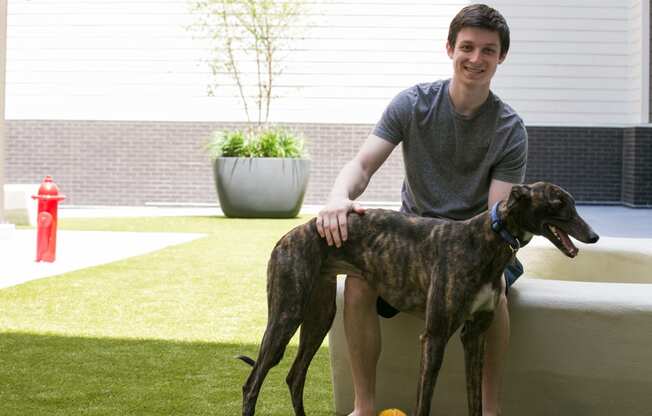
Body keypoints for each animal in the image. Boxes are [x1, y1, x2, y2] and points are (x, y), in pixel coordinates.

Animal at [238, 183, 596, 416]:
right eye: (558, 204)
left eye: (572, 202)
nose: (593, 236)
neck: (486, 239)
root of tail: (291, 234)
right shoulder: (434, 336)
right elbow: (424, 403)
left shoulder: (474, 335)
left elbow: (475, 399)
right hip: (286, 314)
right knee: (252, 383)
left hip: (319, 316)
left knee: (294, 376)